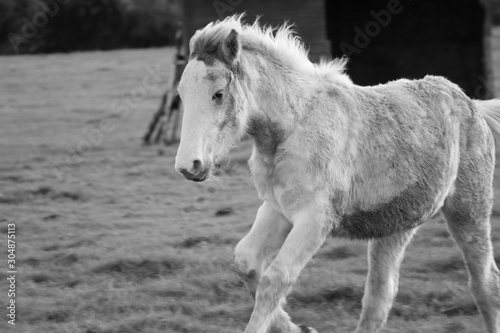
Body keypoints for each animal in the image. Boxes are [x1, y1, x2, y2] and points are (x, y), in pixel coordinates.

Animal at [175, 16, 500, 332]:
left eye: (218, 94)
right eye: (181, 94)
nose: (188, 166)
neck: (295, 126)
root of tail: (471, 104)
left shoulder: (316, 217)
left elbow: (276, 278)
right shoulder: (277, 209)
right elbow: (247, 263)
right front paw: (299, 329)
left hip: (468, 210)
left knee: (484, 283)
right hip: (398, 224)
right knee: (380, 295)